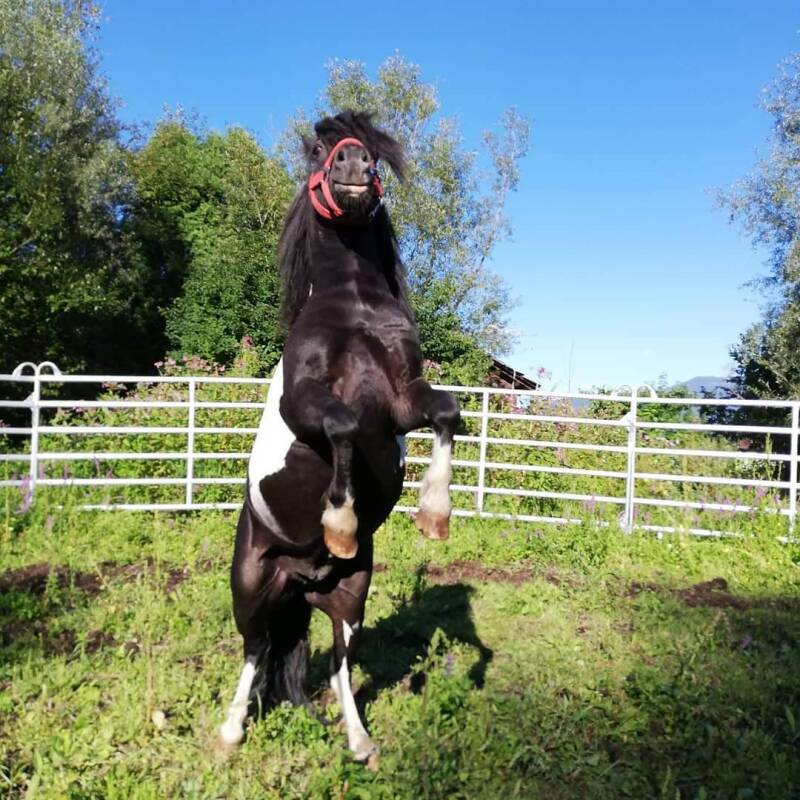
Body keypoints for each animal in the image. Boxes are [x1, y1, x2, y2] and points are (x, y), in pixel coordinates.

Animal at [218, 111, 461, 764]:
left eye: (374, 149)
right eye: (321, 148)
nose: (354, 166)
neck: (353, 309)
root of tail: (300, 581)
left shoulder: (404, 400)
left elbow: (447, 412)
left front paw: (434, 512)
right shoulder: (306, 401)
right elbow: (344, 424)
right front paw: (341, 522)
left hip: (350, 595)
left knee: (339, 665)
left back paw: (359, 740)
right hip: (250, 588)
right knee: (254, 653)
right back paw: (229, 732)